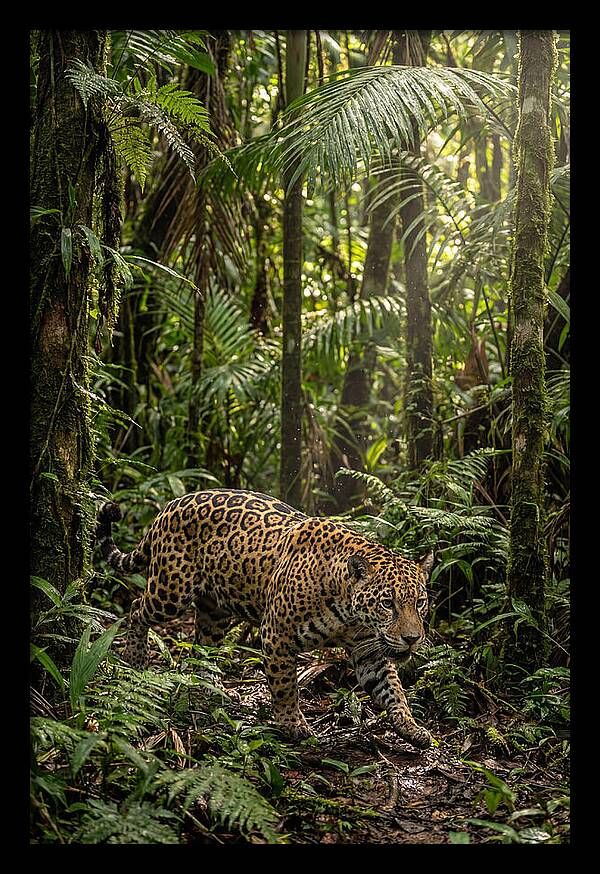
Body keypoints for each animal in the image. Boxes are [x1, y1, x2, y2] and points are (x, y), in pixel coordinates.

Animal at [96, 488, 434, 749]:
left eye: (419, 603)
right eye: (388, 603)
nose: (412, 639)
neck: (348, 612)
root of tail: (170, 505)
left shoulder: (369, 652)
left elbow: (392, 689)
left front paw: (411, 727)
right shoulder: (277, 635)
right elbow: (285, 685)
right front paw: (292, 725)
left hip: (214, 611)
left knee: (203, 644)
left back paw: (210, 685)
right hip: (170, 591)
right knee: (136, 608)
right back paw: (136, 657)